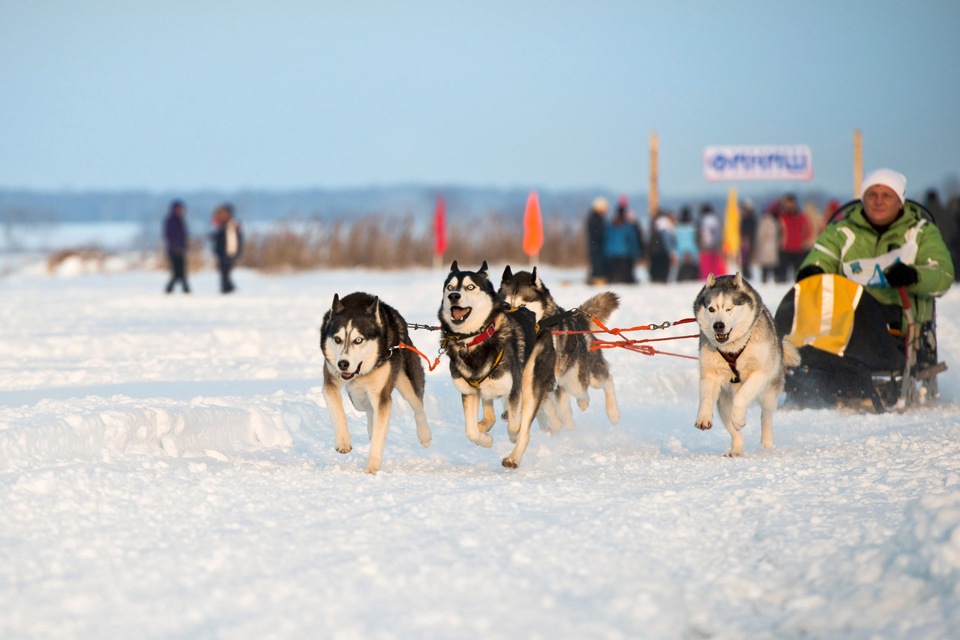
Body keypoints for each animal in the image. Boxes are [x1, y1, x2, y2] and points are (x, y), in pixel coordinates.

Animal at [320, 292, 430, 472]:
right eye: (337, 339)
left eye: (358, 340)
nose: (342, 364)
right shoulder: (330, 382)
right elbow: (338, 412)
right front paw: (343, 441)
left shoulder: (381, 396)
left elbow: (380, 434)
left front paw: (372, 468)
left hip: (406, 381)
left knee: (418, 406)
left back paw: (424, 435)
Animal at [436, 262, 556, 470]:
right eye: (450, 287)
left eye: (470, 287)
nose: (454, 296)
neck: (473, 342)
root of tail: (537, 320)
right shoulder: (469, 392)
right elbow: (470, 430)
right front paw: (484, 439)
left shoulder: (514, 389)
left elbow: (516, 427)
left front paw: (513, 436)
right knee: (489, 414)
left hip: (530, 383)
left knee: (524, 426)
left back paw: (513, 457)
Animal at [496, 264, 624, 430]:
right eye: (506, 305)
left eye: (523, 306)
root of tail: (580, 319)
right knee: (564, 409)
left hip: (578, 378)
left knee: (604, 381)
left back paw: (611, 412)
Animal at [688, 272, 804, 458]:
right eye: (711, 309)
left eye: (729, 308)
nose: (718, 325)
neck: (733, 348)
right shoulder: (710, 373)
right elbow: (705, 397)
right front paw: (703, 417)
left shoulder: (761, 372)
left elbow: (742, 396)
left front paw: (739, 417)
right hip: (723, 404)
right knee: (734, 430)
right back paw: (736, 448)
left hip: (769, 393)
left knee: (766, 417)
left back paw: (766, 443)